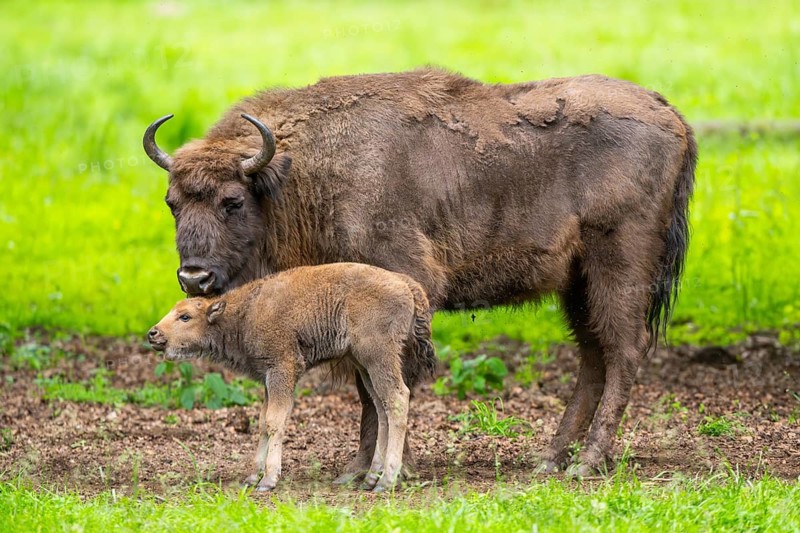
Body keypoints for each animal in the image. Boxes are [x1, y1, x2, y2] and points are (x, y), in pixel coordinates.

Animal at [144, 67, 696, 479]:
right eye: (172, 203)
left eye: (233, 200)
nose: (194, 279)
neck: (302, 171)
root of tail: (669, 113)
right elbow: (367, 386)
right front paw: (358, 469)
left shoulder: (399, 288)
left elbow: (385, 386)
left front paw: (385, 469)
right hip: (577, 284)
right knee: (593, 357)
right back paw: (550, 459)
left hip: (617, 265)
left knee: (624, 351)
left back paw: (587, 462)